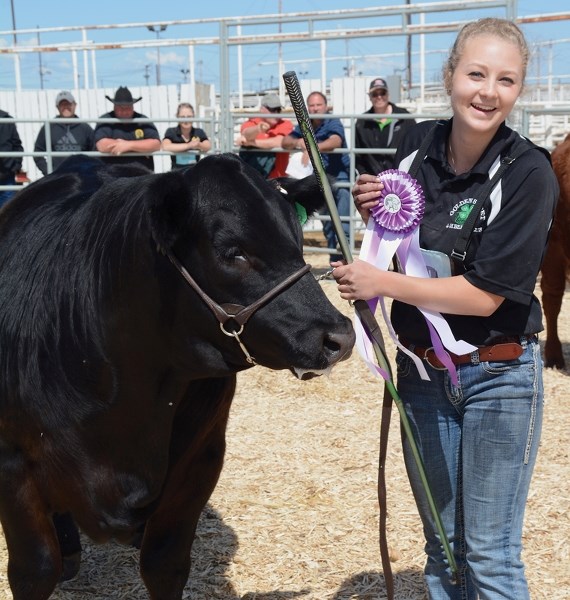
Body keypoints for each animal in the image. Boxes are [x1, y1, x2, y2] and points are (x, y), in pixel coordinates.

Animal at [0, 156, 356, 600]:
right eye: (232, 252)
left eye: (297, 242)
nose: (338, 337)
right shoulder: (11, 464)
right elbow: (35, 569)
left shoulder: (201, 459)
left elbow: (164, 563)